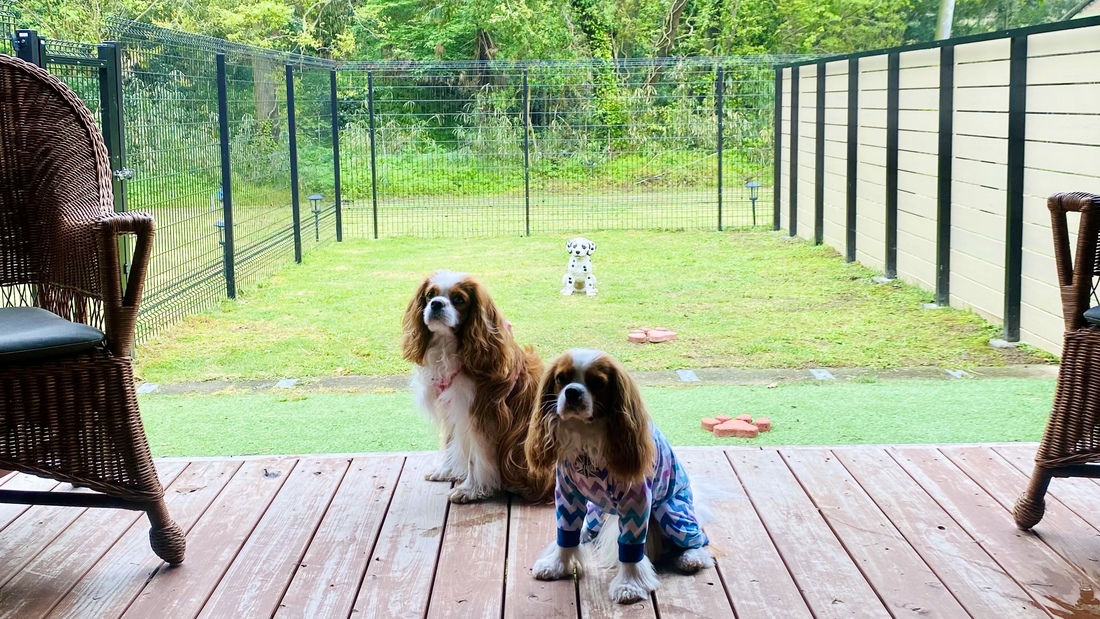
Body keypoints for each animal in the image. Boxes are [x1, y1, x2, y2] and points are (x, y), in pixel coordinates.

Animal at [404, 271, 554, 503]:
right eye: (430, 295)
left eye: (459, 299)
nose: (436, 304)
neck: (448, 348)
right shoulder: (451, 409)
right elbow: (451, 443)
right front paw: (446, 471)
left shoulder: (481, 416)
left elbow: (475, 458)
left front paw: (470, 490)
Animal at [523, 349, 712, 606]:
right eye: (561, 378)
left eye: (596, 382)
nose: (572, 392)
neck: (586, 436)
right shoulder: (568, 495)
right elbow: (567, 533)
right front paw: (557, 565)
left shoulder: (636, 502)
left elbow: (630, 548)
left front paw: (628, 586)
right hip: (596, 510)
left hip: (672, 510)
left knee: (697, 537)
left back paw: (692, 557)